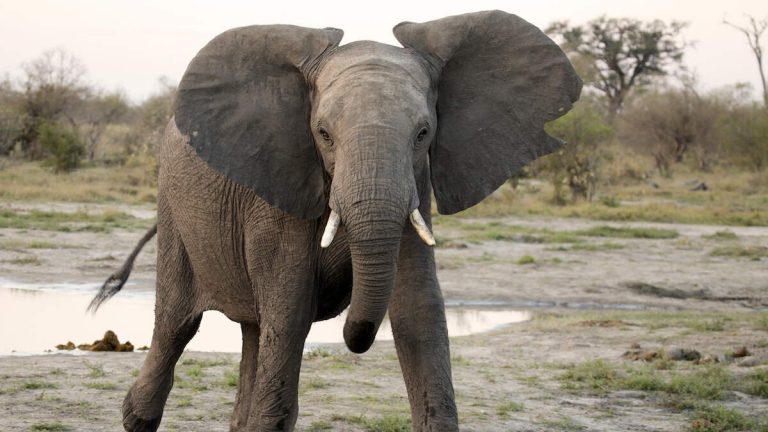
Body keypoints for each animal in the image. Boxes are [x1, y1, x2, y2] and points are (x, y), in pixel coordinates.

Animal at [89, 10, 581, 432]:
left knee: (254, 329)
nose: (354, 337)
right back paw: (135, 418)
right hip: (171, 205)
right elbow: (290, 310)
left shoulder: (416, 183)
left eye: (423, 134)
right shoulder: (281, 182)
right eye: (323, 134)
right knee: (178, 323)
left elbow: (420, 311)